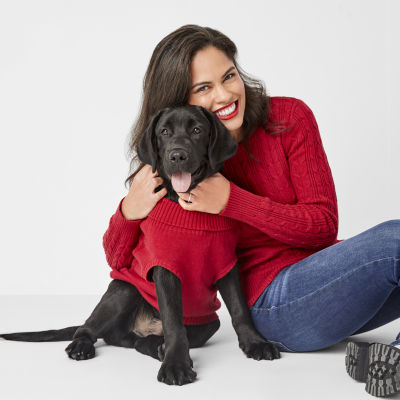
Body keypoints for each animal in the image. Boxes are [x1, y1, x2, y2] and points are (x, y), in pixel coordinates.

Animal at [0, 105, 282, 384]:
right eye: (164, 132)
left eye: (197, 130)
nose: (177, 156)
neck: (187, 206)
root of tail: (142, 327)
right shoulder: (165, 268)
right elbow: (173, 321)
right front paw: (176, 365)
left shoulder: (227, 264)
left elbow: (239, 309)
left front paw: (256, 343)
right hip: (124, 290)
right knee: (89, 328)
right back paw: (83, 346)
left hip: (208, 323)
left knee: (137, 341)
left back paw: (156, 346)